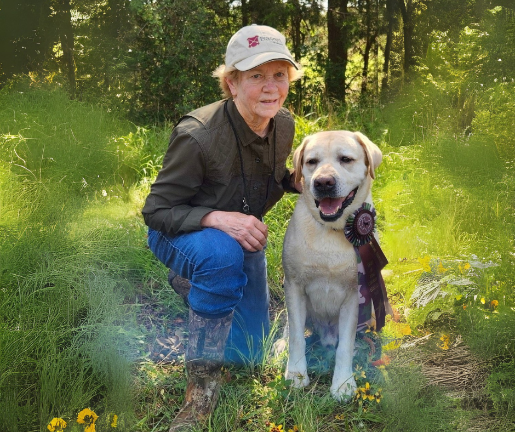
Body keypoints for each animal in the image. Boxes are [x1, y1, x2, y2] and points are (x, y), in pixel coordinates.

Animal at [284, 131, 384, 402]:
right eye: (311, 162)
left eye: (345, 159)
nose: (323, 182)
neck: (332, 229)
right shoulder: (294, 286)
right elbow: (296, 336)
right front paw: (296, 373)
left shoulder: (353, 296)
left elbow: (345, 347)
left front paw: (343, 383)